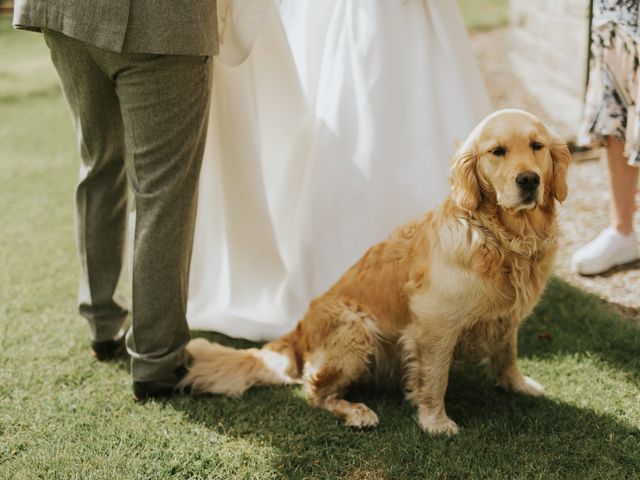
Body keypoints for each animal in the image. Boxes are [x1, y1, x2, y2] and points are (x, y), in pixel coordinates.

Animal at [180, 109, 568, 436]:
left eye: (537, 146)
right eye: (497, 151)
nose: (529, 180)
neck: (502, 238)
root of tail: (298, 328)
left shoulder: (507, 317)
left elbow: (507, 354)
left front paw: (517, 384)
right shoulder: (434, 324)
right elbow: (435, 377)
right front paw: (435, 422)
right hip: (358, 329)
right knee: (314, 389)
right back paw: (355, 411)